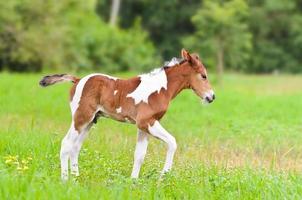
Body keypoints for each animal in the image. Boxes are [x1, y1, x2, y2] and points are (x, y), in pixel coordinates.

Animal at [39, 49, 215, 180]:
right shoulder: (146, 122)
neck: (160, 89)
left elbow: (139, 155)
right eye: (203, 76)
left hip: (90, 121)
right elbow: (172, 142)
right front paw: (163, 177)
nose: (212, 97)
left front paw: (134, 182)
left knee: (75, 147)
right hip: (81, 118)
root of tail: (78, 79)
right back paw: (65, 179)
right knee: (66, 144)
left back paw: (76, 178)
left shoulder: (144, 127)